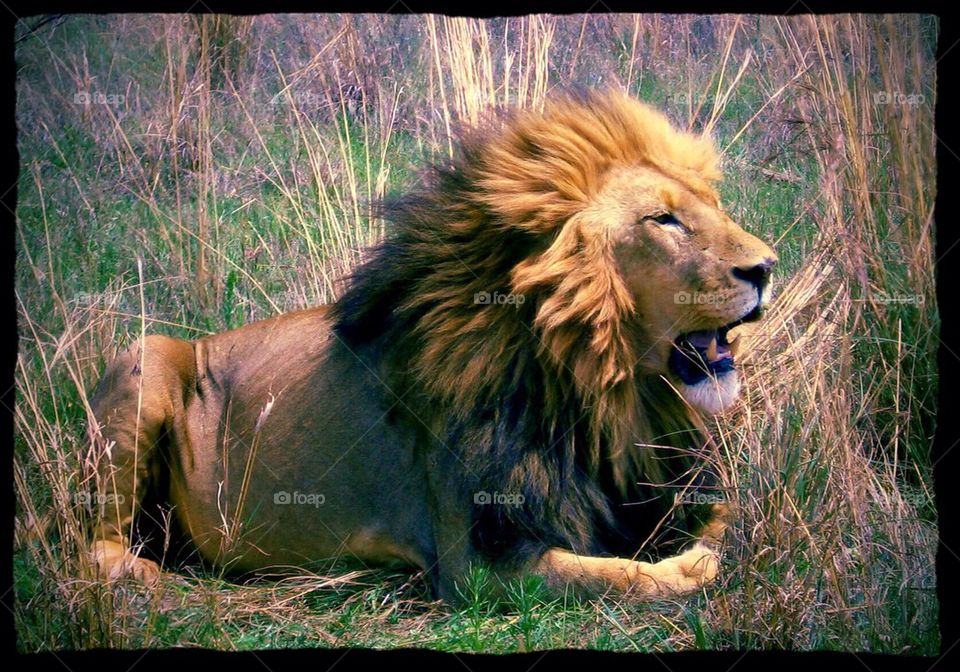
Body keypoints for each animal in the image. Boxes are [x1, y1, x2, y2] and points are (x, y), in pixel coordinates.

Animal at [86, 89, 776, 603]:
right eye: (663, 220)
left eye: (713, 205)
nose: (767, 267)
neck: (603, 393)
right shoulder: (479, 562)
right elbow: (617, 577)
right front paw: (687, 568)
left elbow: (733, 515)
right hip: (145, 360)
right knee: (94, 542)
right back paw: (140, 575)